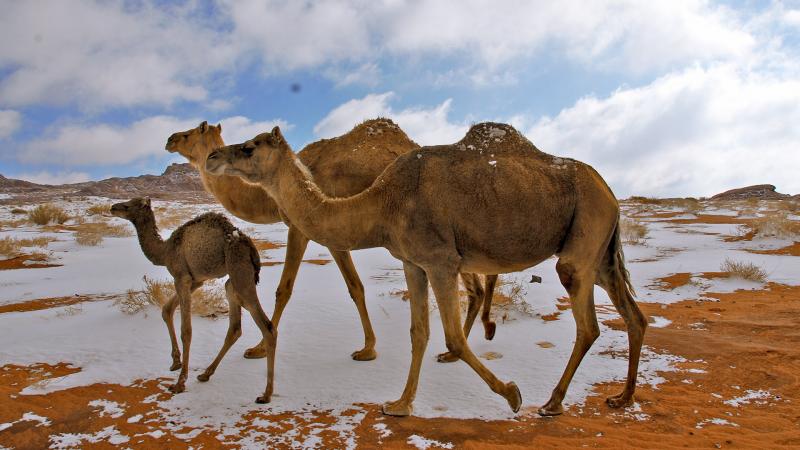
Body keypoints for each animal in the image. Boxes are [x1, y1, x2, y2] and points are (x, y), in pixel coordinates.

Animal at [109, 199, 276, 402]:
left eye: (128, 205)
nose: (113, 207)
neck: (165, 251)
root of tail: (250, 247)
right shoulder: (196, 281)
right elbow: (166, 309)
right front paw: (175, 362)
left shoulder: (181, 277)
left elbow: (186, 331)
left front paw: (179, 383)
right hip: (233, 281)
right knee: (235, 326)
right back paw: (205, 374)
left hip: (240, 273)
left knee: (267, 328)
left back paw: (266, 394)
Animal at [166, 119, 496, 362]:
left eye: (191, 132)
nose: (169, 139)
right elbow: (355, 287)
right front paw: (368, 346)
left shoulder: (305, 228)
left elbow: (287, 289)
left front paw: (259, 348)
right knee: (478, 284)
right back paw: (468, 342)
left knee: (476, 284)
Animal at [206, 123, 648, 418]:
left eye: (249, 147)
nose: (212, 157)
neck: (383, 202)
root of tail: (608, 190)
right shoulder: (412, 262)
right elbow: (418, 333)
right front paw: (400, 404)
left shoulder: (440, 260)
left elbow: (453, 337)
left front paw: (512, 394)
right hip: (601, 252)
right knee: (634, 316)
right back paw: (621, 397)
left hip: (582, 239)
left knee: (588, 323)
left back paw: (553, 403)